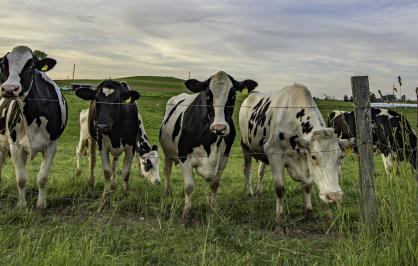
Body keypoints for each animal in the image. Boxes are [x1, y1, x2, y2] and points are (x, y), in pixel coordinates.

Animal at [0, 45, 67, 208]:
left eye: (30, 66)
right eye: (3, 64)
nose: (9, 89)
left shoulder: (51, 145)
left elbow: (42, 177)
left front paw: (41, 204)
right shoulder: (15, 145)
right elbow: (21, 178)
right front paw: (21, 205)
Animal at [74, 79, 140, 208]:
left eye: (118, 100)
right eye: (96, 99)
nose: (101, 126)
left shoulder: (131, 146)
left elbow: (126, 173)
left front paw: (125, 195)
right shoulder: (102, 145)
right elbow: (107, 172)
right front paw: (104, 199)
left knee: (115, 160)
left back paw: (113, 186)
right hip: (90, 138)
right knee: (91, 161)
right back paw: (91, 185)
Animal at [160, 71, 258, 224]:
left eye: (232, 95)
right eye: (208, 95)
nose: (219, 128)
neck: (211, 142)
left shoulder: (223, 158)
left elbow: (215, 184)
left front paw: (213, 208)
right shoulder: (184, 156)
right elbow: (189, 186)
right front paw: (186, 214)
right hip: (168, 153)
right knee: (167, 171)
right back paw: (167, 192)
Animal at [238, 83, 352, 222]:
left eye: (341, 157)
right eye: (314, 157)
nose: (334, 196)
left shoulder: (302, 158)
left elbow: (307, 185)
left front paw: (309, 212)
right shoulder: (273, 153)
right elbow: (279, 188)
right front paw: (280, 215)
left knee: (261, 170)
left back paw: (258, 191)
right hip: (245, 146)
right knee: (247, 169)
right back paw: (249, 192)